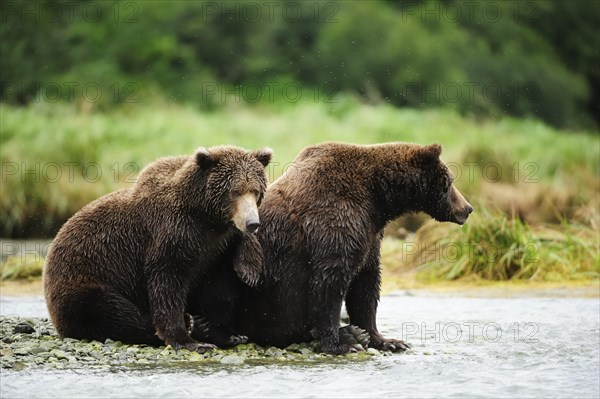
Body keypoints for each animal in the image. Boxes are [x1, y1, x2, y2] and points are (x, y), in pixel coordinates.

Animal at [44, 146, 272, 354]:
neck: (205, 219)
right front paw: (188, 340)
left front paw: (248, 273)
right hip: (85, 280)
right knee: (109, 311)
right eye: (235, 191)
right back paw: (190, 322)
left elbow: (218, 286)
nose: (252, 223)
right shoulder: (172, 233)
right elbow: (167, 281)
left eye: (255, 191)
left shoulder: (215, 249)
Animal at [232, 142, 472, 354]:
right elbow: (329, 282)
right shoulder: (335, 222)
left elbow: (366, 284)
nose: (468, 208)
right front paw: (339, 344)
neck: (377, 199)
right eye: (450, 180)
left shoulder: (370, 234)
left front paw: (387, 340)